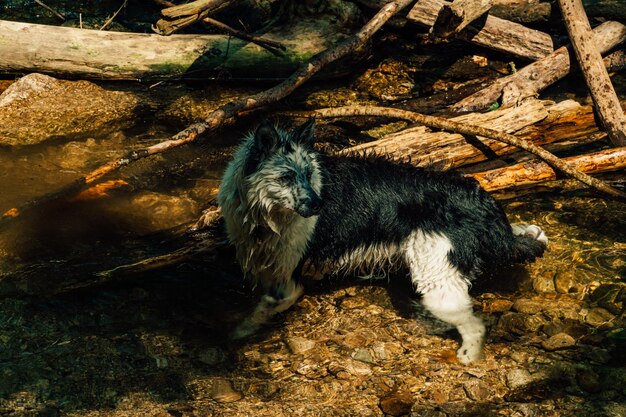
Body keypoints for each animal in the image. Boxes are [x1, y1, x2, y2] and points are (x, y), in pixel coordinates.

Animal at [216, 118, 544, 362]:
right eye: (285, 177)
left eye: (309, 174)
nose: (319, 205)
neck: (266, 213)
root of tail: (479, 200)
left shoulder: (287, 284)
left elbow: (261, 309)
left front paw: (237, 334)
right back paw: (529, 232)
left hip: (436, 280)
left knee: (475, 325)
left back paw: (468, 357)